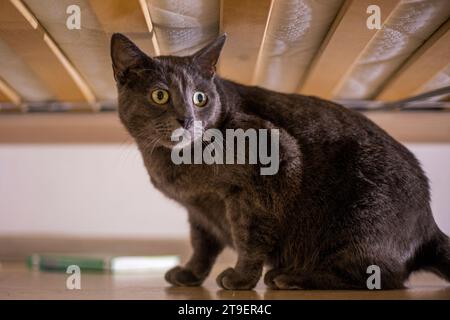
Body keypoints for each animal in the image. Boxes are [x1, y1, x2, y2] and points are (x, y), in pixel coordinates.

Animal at [110, 33, 450, 290]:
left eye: (200, 98)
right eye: (160, 96)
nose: (187, 118)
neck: (177, 165)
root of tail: (429, 224)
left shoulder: (266, 174)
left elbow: (248, 237)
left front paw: (240, 279)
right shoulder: (199, 210)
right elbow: (201, 244)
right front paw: (190, 273)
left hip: (361, 220)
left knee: (381, 276)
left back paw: (290, 277)